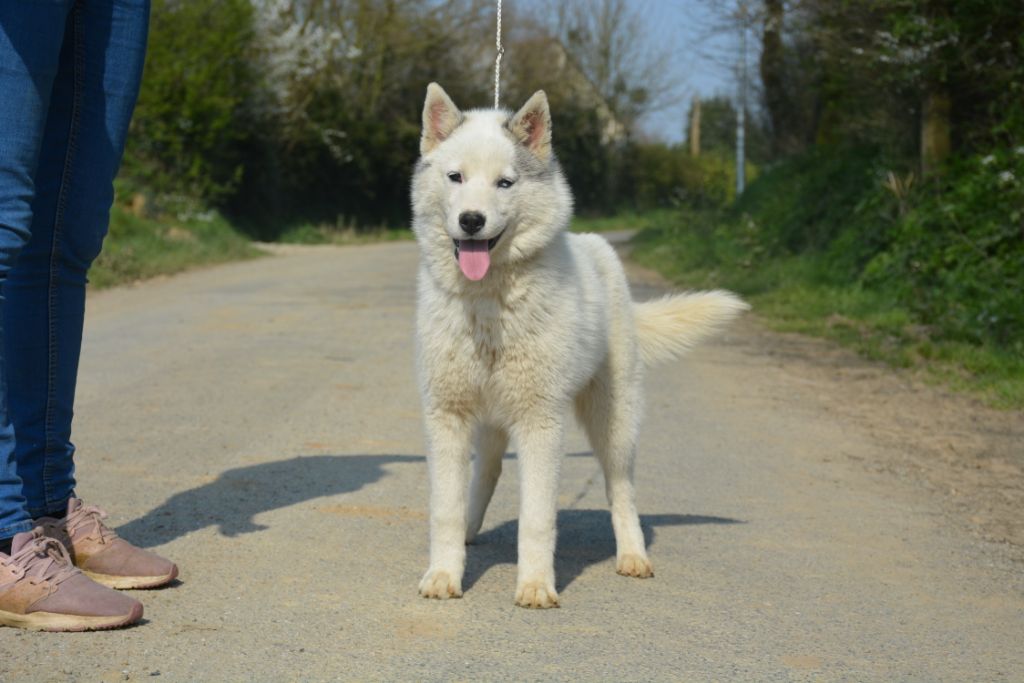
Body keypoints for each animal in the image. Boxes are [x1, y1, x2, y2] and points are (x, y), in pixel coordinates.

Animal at [411, 82, 749, 606]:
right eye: (455, 177)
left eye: (504, 183)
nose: (471, 220)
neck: (489, 303)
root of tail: (598, 245)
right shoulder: (447, 416)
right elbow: (444, 509)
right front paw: (445, 575)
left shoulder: (541, 424)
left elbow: (537, 518)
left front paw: (534, 586)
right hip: (493, 422)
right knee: (486, 474)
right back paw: (470, 530)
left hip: (614, 424)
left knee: (621, 491)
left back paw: (632, 556)